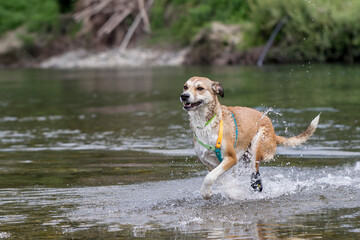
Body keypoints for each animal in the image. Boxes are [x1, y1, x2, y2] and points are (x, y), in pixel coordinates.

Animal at [180, 76, 320, 199]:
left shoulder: (231, 158)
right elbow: (218, 178)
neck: (206, 124)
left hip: (257, 147)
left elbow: (209, 177)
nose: (184, 96)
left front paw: (207, 193)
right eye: (185, 87)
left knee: (256, 178)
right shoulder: (209, 162)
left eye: (200, 88)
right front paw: (214, 192)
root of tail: (274, 133)